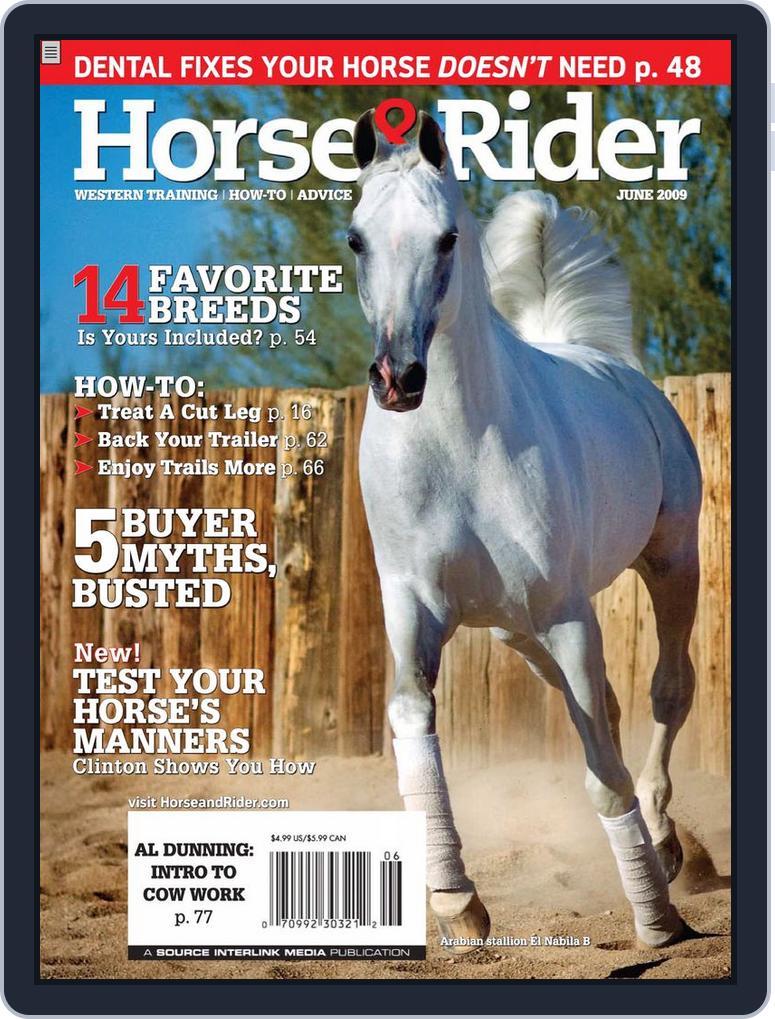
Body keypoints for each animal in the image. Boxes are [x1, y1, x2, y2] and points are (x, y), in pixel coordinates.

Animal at [349, 109, 701, 954]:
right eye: (355, 238)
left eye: (446, 237)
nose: (396, 378)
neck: (457, 447)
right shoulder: (412, 608)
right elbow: (412, 725)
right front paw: (457, 901)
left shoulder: (568, 613)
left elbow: (603, 775)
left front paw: (655, 920)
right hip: (515, 631)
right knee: (606, 707)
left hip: (672, 563)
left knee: (666, 693)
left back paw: (667, 846)